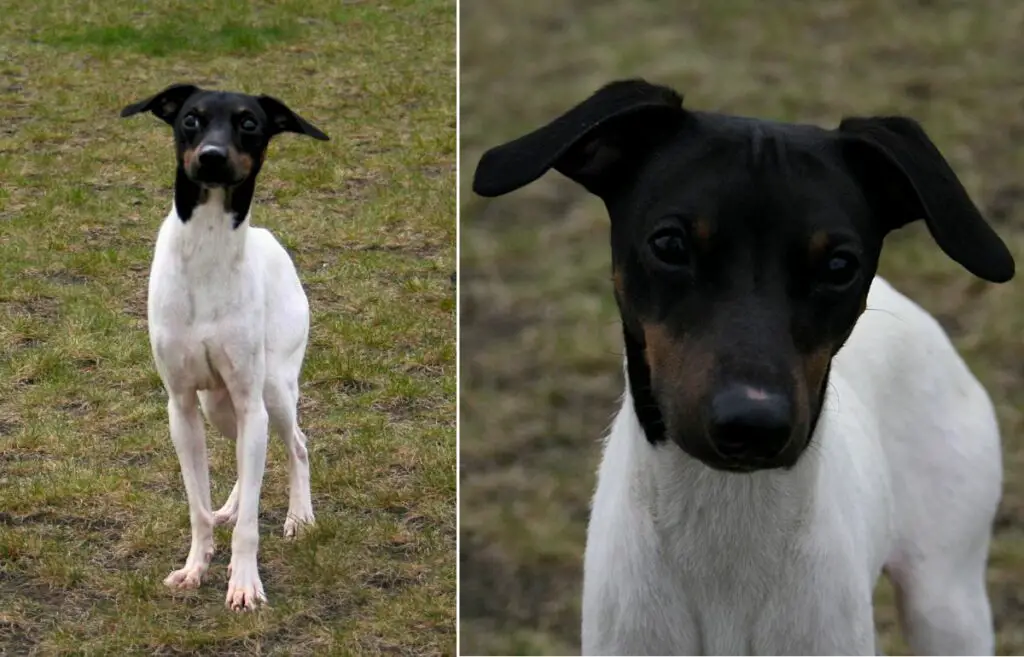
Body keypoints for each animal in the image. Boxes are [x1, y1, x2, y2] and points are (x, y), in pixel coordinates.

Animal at [120, 81, 329, 609]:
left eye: (249, 123)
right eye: (190, 118)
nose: (212, 157)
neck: (209, 248)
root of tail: (270, 239)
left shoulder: (250, 398)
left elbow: (252, 524)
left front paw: (244, 584)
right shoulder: (181, 406)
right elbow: (197, 503)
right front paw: (195, 566)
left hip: (273, 389)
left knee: (296, 444)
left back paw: (300, 517)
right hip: (219, 405)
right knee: (248, 454)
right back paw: (230, 507)